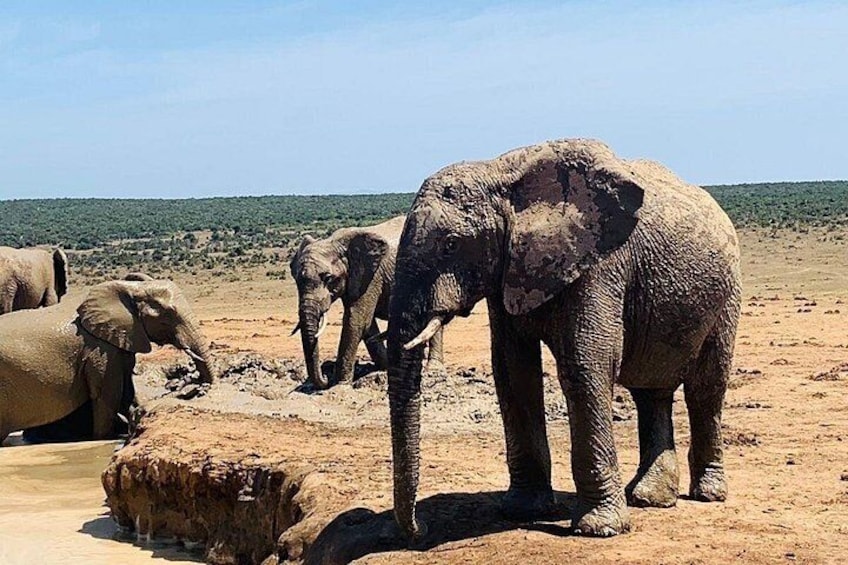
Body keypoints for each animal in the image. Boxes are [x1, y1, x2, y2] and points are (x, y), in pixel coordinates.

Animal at [0, 278, 216, 445]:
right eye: (167, 315)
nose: (200, 388)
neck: (132, 288)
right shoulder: (100, 350)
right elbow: (109, 396)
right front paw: (103, 438)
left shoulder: (120, 342)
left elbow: (127, 393)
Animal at [290, 216, 444, 389]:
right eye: (296, 279)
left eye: (328, 278)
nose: (325, 377)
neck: (335, 242)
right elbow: (368, 324)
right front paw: (386, 365)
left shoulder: (372, 275)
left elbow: (356, 320)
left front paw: (339, 384)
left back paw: (433, 368)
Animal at [386, 139, 741, 540]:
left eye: (450, 245)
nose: (420, 528)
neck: (501, 174)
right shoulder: (507, 270)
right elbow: (513, 372)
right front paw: (523, 510)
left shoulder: (600, 263)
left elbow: (585, 364)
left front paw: (600, 529)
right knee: (652, 392)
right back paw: (650, 498)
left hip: (728, 293)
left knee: (705, 388)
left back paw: (708, 494)